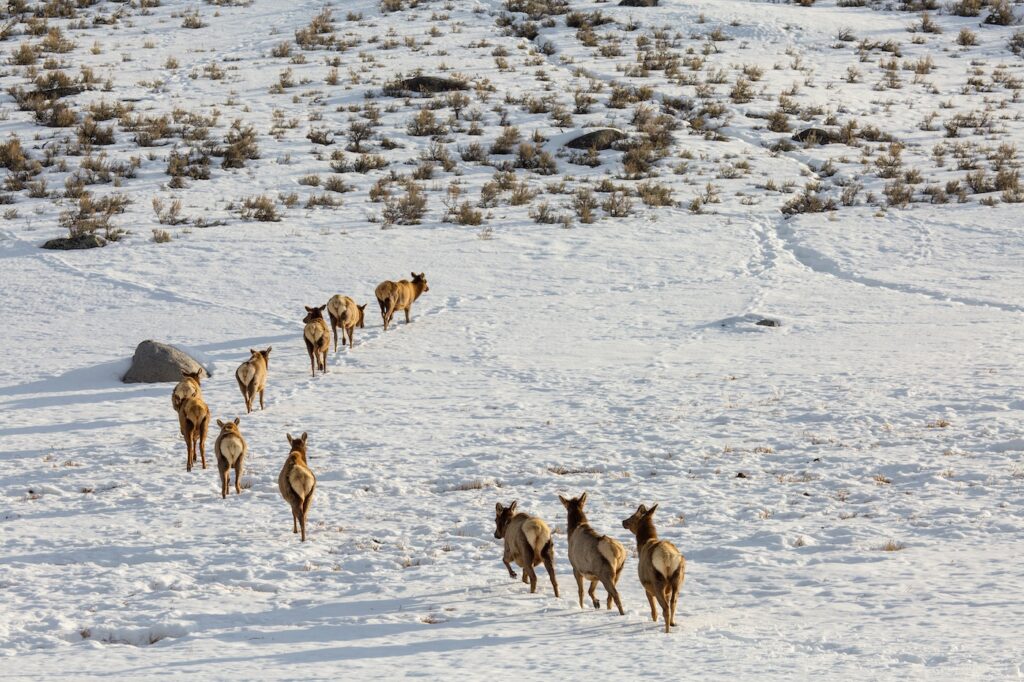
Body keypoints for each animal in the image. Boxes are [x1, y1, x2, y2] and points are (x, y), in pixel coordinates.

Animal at [622, 504, 684, 633]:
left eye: (632, 516)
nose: (623, 521)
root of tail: (667, 557)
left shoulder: (647, 587)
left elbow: (653, 611)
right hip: (678, 579)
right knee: (673, 603)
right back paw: (672, 623)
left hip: (657, 581)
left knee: (665, 609)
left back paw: (666, 631)